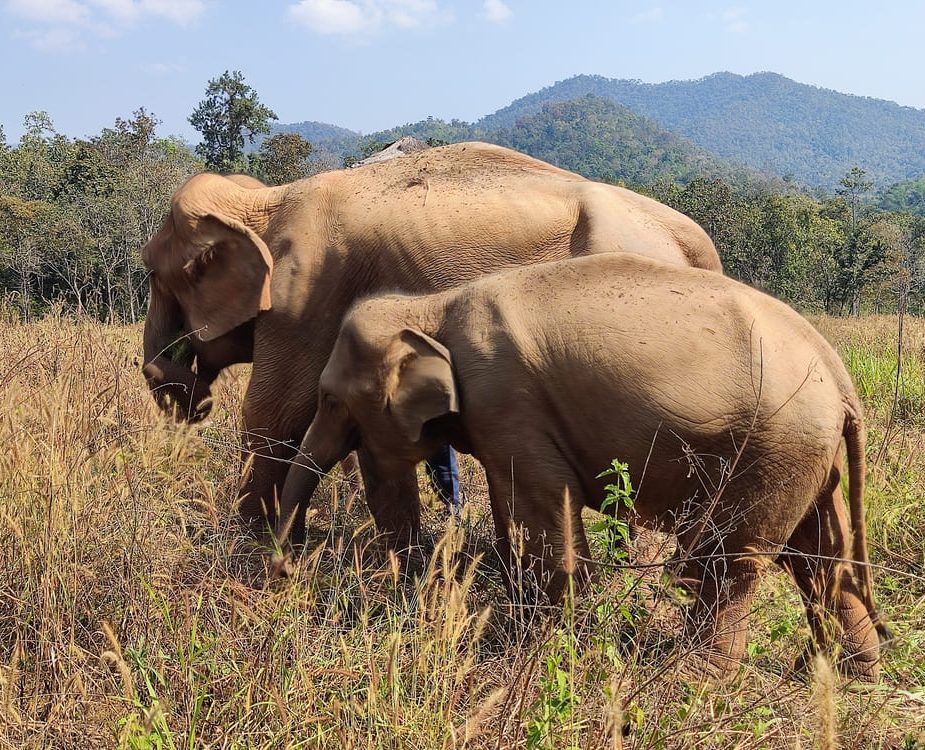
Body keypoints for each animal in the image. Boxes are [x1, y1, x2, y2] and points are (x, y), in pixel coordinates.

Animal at [141, 141, 721, 534]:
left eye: (150, 273)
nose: (193, 394)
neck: (263, 201)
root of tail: (698, 245)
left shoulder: (303, 295)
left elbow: (274, 414)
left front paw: (247, 546)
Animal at [279, 252, 887, 682]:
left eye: (330, 399)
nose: (286, 570)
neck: (434, 307)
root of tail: (840, 375)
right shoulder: (502, 418)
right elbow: (512, 508)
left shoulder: (507, 400)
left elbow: (548, 517)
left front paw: (537, 650)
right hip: (805, 456)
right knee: (819, 558)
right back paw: (843, 677)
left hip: (775, 448)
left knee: (729, 564)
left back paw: (690, 682)